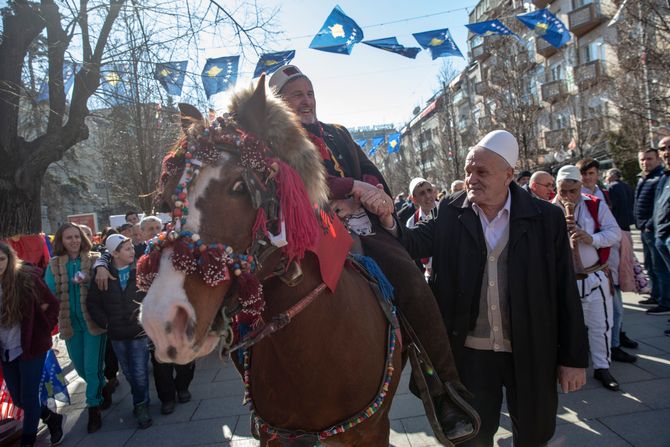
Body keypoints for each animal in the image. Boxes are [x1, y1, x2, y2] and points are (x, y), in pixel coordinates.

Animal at [140, 75, 404, 446]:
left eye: (240, 186)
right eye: (165, 199)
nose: (162, 321)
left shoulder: (371, 430)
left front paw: (373, 194)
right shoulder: (275, 435)